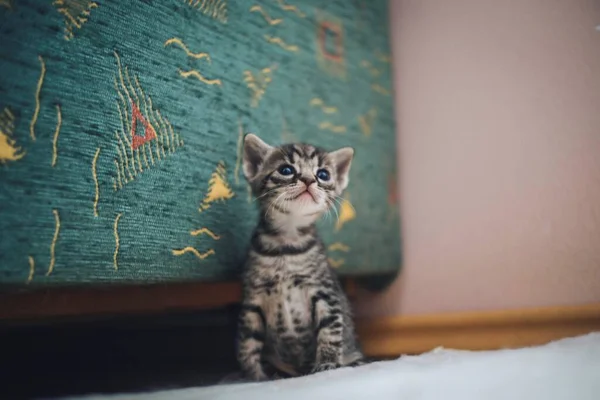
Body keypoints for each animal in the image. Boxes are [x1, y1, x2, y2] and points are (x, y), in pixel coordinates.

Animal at [237, 134, 364, 382]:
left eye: (323, 174)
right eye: (286, 170)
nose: (308, 179)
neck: (287, 244)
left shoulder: (325, 291)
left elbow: (330, 329)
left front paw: (326, 364)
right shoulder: (253, 298)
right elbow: (247, 341)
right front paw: (254, 377)